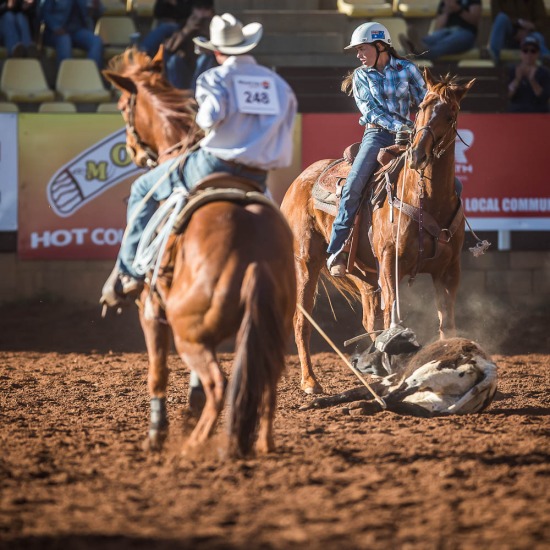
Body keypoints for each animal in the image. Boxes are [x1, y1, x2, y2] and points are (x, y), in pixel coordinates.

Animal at [103, 49, 298, 460]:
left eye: (124, 106)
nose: (133, 151)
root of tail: (255, 255)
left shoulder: (152, 314)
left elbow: (158, 373)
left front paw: (157, 433)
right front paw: (186, 416)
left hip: (186, 334)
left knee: (219, 385)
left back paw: (195, 445)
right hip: (269, 330)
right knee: (266, 381)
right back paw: (262, 443)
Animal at [282, 71, 476, 396]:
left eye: (451, 115)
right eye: (421, 108)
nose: (418, 154)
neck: (424, 199)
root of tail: (298, 181)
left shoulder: (449, 271)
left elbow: (445, 325)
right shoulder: (389, 266)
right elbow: (393, 320)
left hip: (364, 274)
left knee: (369, 320)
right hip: (305, 261)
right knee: (301, 320)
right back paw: (310, 381)